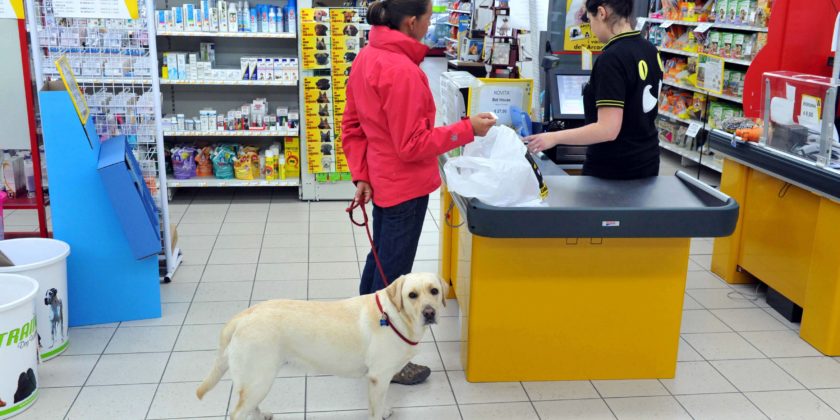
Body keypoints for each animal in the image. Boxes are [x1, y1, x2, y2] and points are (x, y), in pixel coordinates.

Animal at [196, 272, 446, 420]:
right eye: (412, 295)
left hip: (255, 381)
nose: (429, 313)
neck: (395, 317)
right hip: (260, 378)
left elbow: (381, 402)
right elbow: (375, 409)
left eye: (434, 291)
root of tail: (242, 316)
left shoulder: (380, 379)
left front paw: (384, 410)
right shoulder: (379, 376)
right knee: (237, 412)